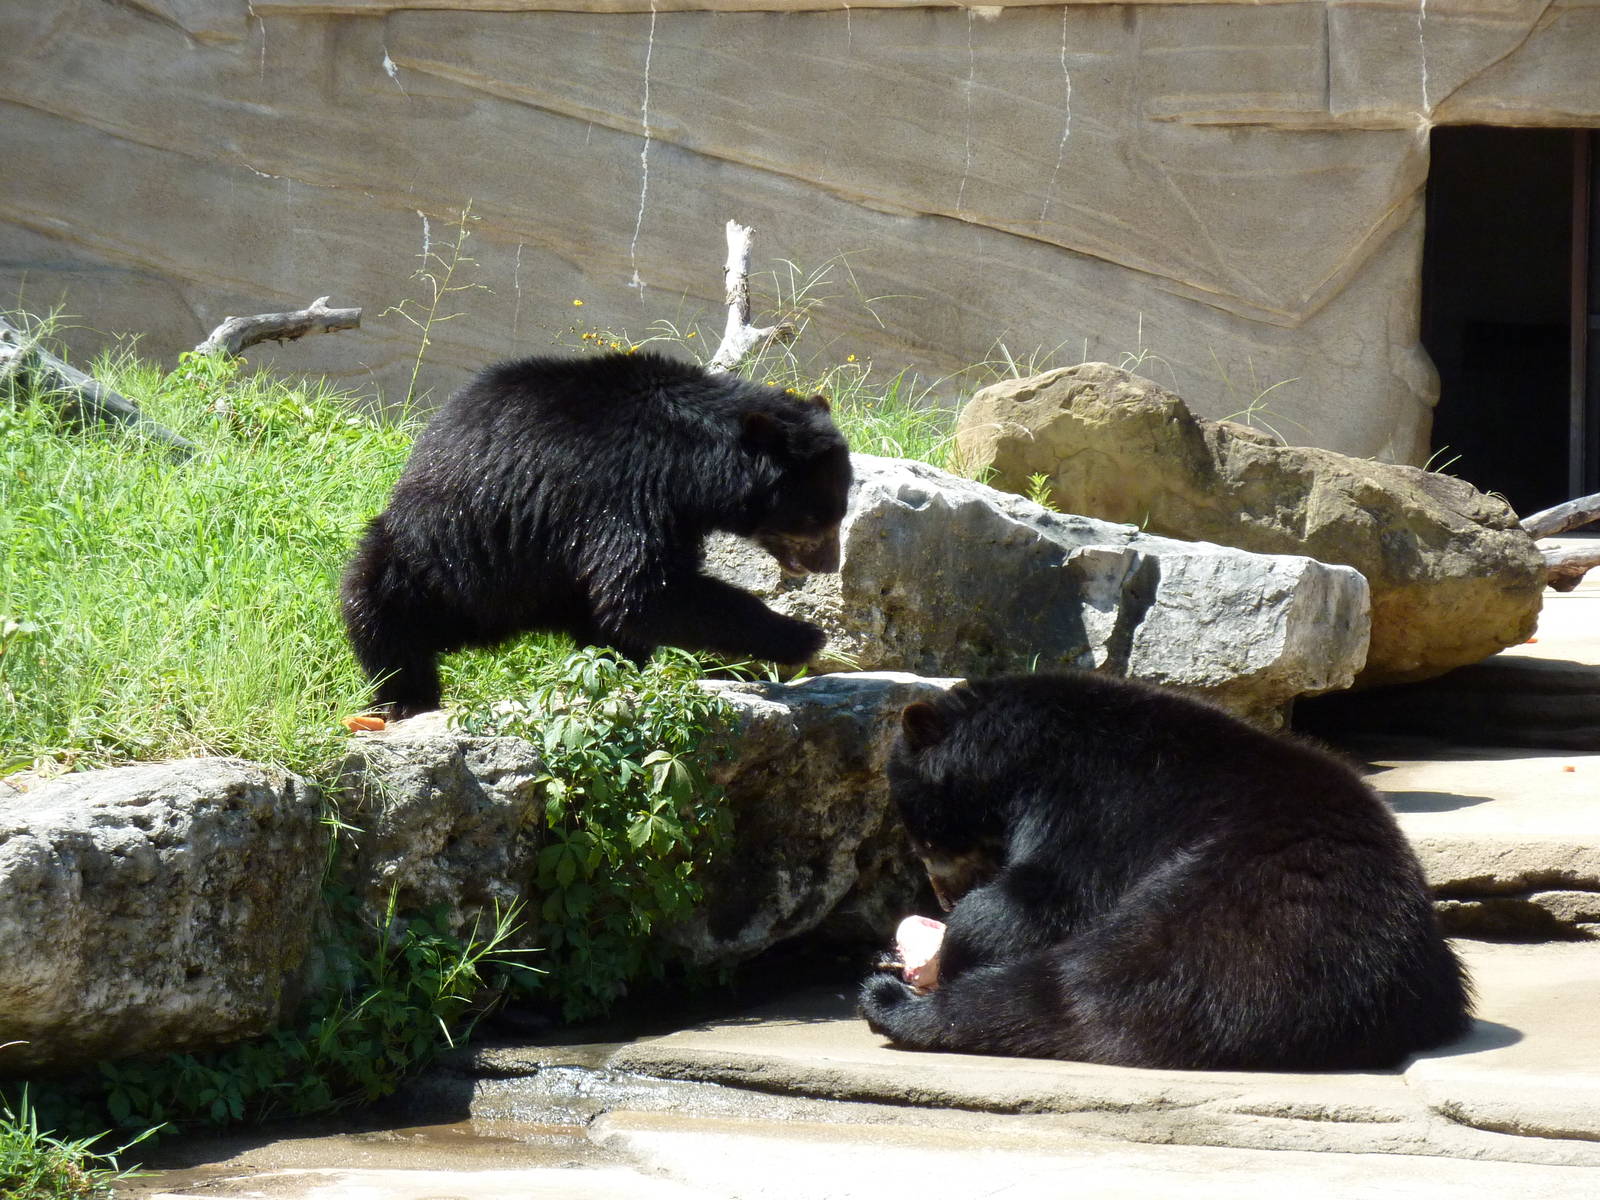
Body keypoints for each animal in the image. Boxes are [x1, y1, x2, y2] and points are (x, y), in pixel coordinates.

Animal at [341, 351, 851, 717]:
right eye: (814, 517)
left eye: (841, 510)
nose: (828, 564)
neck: (692, 465)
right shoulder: (623, 486)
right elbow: (644, 590)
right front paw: (803, 635)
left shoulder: (674, 512)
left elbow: (640, 596)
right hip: (434, 552)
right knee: (378, 604)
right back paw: (406, 697)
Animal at [860, 672, 1473, 1071]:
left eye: (924, 834)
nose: (942, 897)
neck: (1019, 756)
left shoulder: (1096, 800)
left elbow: (1047, 897)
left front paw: (958, 939)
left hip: (1239, 913)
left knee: (1093, 987)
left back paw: (894, 1003)